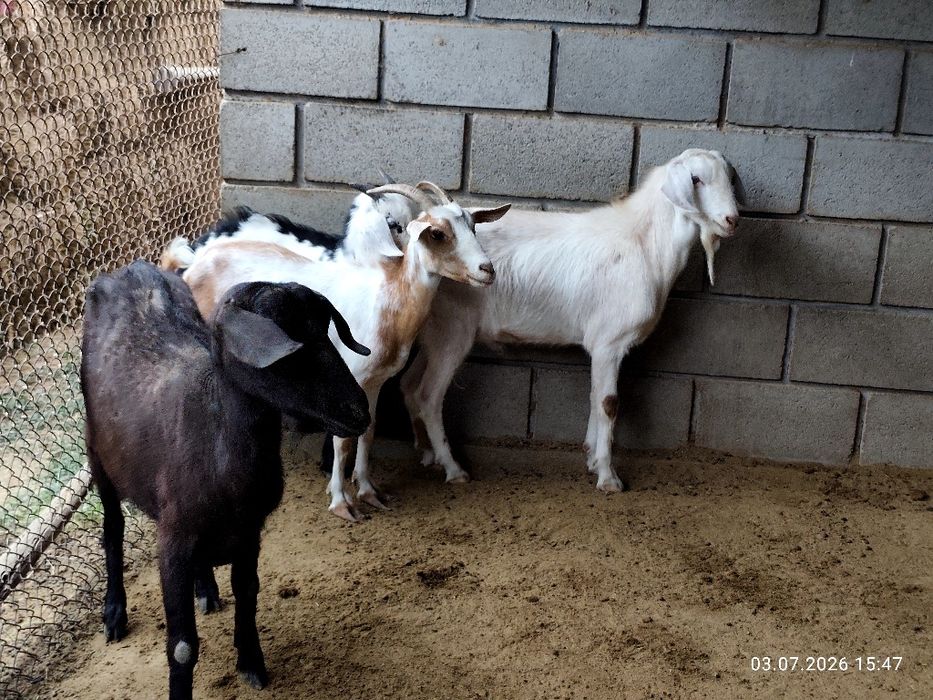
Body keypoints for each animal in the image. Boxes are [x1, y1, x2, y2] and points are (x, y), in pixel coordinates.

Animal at [81, 261, 370, 699]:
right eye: (288, 354)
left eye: (325, 332)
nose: (358, 412)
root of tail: (133, 268)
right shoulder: (172, 541)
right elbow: (182, 647)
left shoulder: (249, 531)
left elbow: (249, 594)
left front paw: (251, 663)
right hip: (97, 455)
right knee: (112, 527)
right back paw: (114, 613)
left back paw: (205, 589)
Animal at [162, 184, 510, 522]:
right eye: (437, 233)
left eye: (472, 225)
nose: (487, 270)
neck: (385, 298)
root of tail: (189, 265)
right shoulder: (350, 381)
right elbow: (342, 442)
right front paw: (342, 503)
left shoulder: (375, 382)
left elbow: (369, 432)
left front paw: (369, 492)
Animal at [401, 149, 746, 492]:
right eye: (696, 179)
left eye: (729, 177)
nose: (732, 220)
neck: (645, 245)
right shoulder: (609, 343)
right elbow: (608, 403)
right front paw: (608, 477)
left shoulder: (602, 347)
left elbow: (594, 398)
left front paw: (592, 459)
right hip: (452, 330)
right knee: (428, 396)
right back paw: (453, 468)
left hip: (433, 334)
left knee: (410, 384)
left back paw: (428, 455)